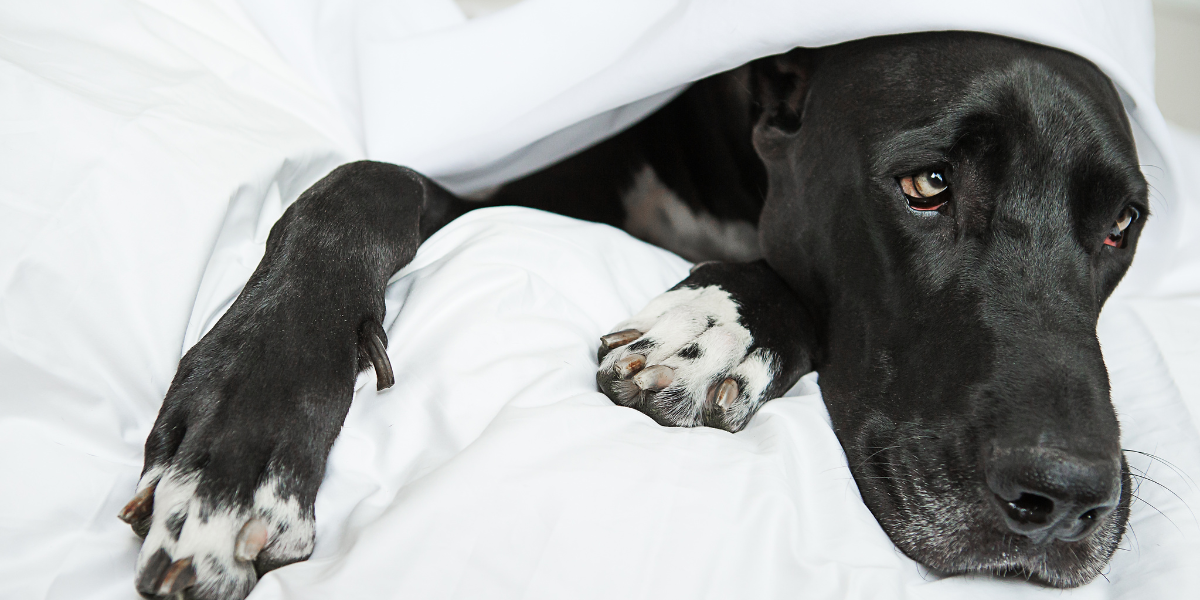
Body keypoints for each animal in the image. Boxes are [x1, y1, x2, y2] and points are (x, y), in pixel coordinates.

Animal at [119, 32, 1142, 600]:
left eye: (1122, 225)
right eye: (927, 184)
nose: (1066, 500)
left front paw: (714, 329)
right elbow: (365, 180)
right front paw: (240, 449)